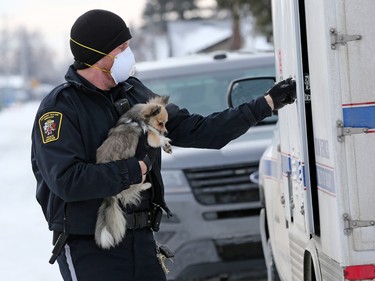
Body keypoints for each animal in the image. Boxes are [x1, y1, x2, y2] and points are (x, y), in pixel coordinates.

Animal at [97, 95, 173, 248]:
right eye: (161, 123)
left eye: (166, 123)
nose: (167, 131)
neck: (137, 119)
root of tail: (109, 196)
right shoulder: (149, 138)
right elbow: (157, 137)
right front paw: (165, 139)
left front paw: (167, 146)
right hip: (139, 174)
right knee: (130, 192)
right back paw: (146, 185)